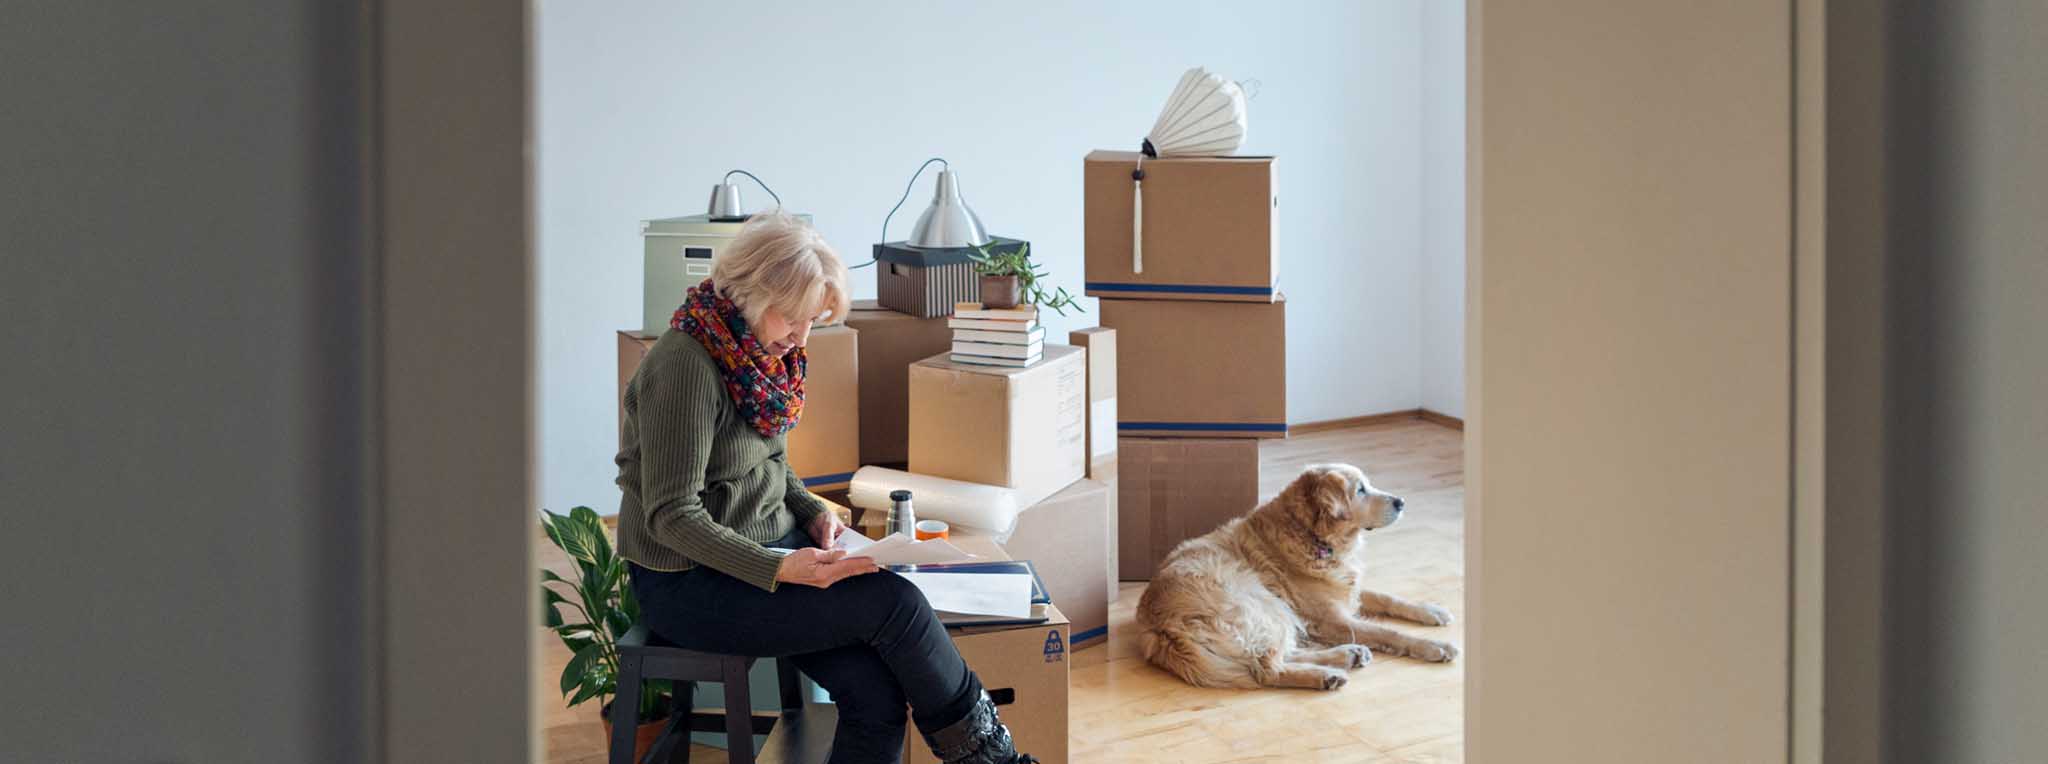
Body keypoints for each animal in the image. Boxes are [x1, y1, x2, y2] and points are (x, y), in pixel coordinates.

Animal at [1138, 460, 1458, 688]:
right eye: (1360, 490)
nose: (1401, 501)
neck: (1312, 535)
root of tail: (1159, 628)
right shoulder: (1333, 619)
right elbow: (1389, 632)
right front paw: (1434, 646)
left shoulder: (1345, 587)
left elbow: (1388, 598)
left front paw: (1431, 611)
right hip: (1265, 604)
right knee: (1268, 668)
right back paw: (1325, 675)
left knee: (1274, 654)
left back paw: (1347, 655)